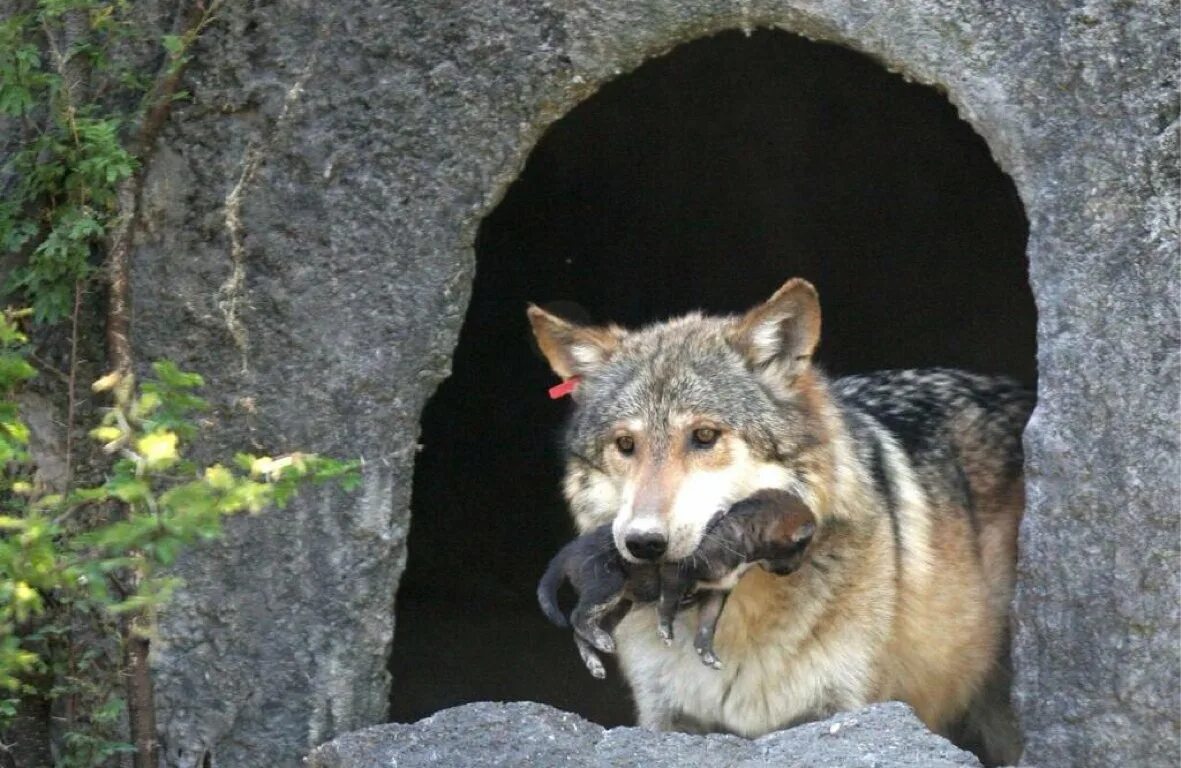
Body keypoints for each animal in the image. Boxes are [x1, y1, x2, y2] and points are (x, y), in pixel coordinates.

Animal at [540, 486, 817, 671]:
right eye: (802, 546)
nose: (795, 568)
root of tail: (569, 550)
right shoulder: (676, 570)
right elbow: (667, 603)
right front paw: (665, 632)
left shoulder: (716, 592)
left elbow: (706, 627)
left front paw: (707, 655)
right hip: (607, 584)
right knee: (578, 617)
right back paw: (601, 641)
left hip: (620, 604)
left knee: (580, 632)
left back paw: (595, 662)